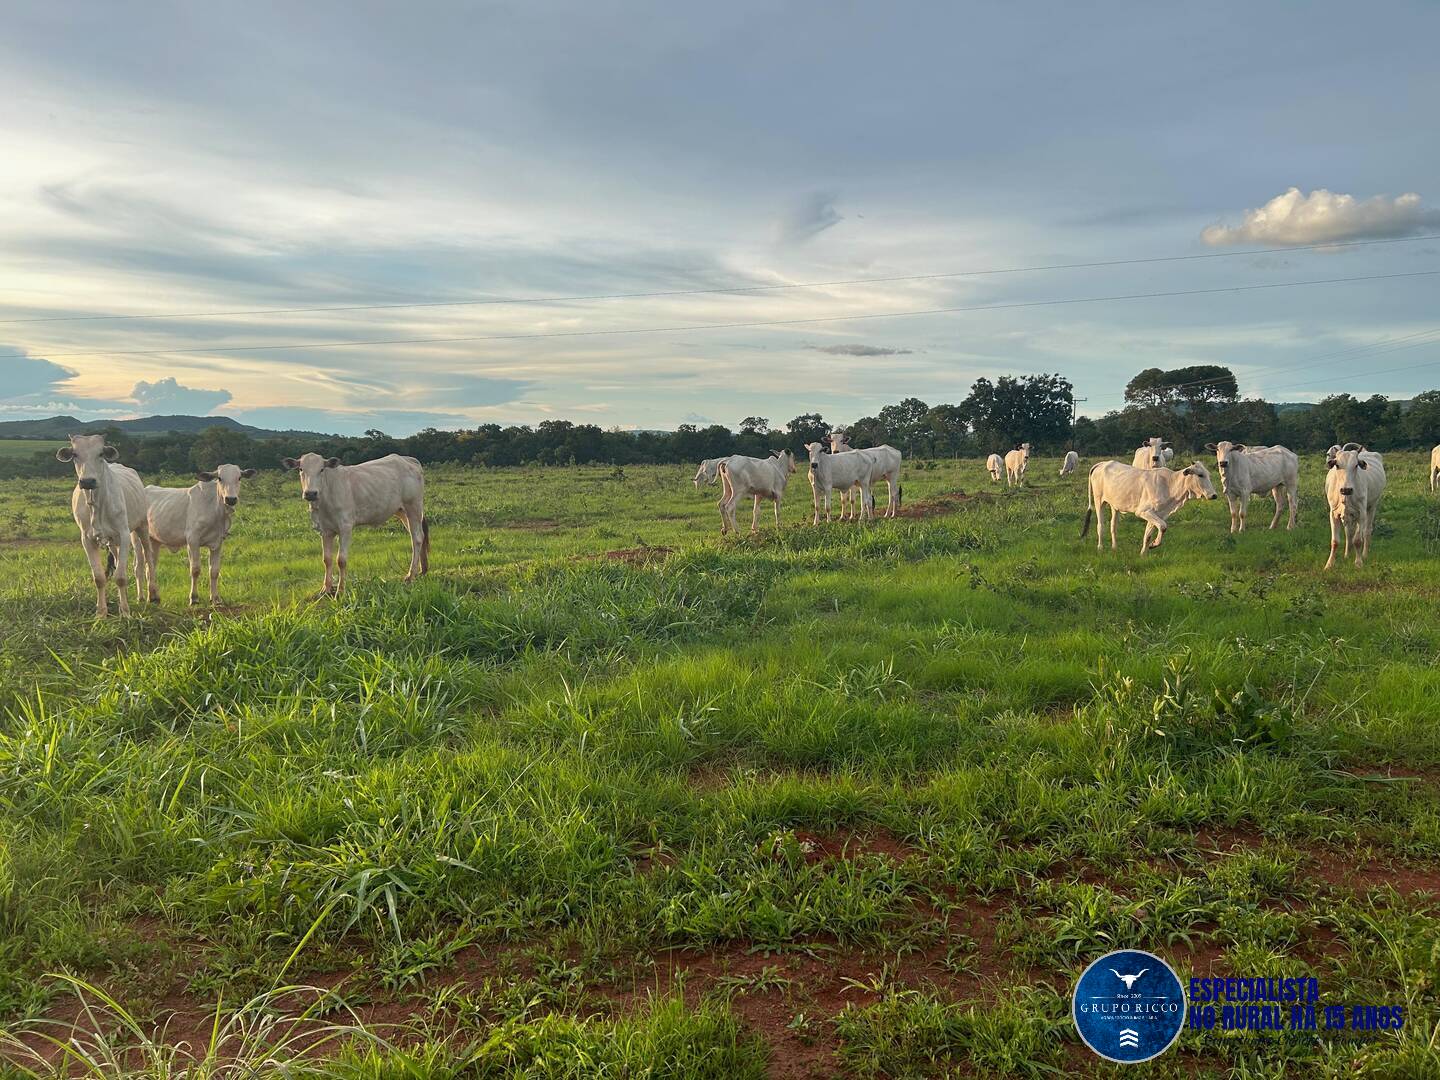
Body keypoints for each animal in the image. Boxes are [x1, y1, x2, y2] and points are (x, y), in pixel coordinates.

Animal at [56, 432, 152, 616]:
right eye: (74, 454)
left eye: (100, 453)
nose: (87, 481)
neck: (97, 502)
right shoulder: (87, 539)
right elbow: (100, 578)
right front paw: (101, 613)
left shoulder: (124, 534)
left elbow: (120, 577)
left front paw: (125, 612)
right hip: (113, 542)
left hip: (141, 526)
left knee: (148, 558)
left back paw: (153, 595)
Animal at [144, 460, 257, 604]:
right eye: (219, 478)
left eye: (239, 478)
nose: (230, 499)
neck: (215, 510)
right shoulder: (192, 540)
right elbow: (195, 570)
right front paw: (194, 597)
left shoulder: (218, 543)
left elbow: (214, 571)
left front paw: (215, 598)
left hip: (155, 541)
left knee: (151, 567)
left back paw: (154, 596)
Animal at [280, 452, 426, 596]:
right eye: (301, 469)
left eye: (321, 469)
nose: (311, 493)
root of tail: (408, 459)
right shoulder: (325, 530)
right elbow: (327, 559)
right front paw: (325, 589)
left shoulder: (345, 527)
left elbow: (341, 560)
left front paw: (340, 590)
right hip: (401, 511)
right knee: (418, 535)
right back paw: (421, 571)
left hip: (413, 506)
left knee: (417, 539)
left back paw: (410, 576)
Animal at [1082, 457, 1215, 552]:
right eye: (1200, 475)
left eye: (1208, 475)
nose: (1214, 495)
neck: (1170, 484)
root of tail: (1101, 464)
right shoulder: (1143, 511)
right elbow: (1163, 526)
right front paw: (1154, 544)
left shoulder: (1157, 514)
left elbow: (1148, 535)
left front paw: (1143, 554)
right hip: (1099, 500)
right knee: (1100, 525)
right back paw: (1100, 548)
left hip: (1115, 506)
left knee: (1113, 526)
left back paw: (1114, 547)